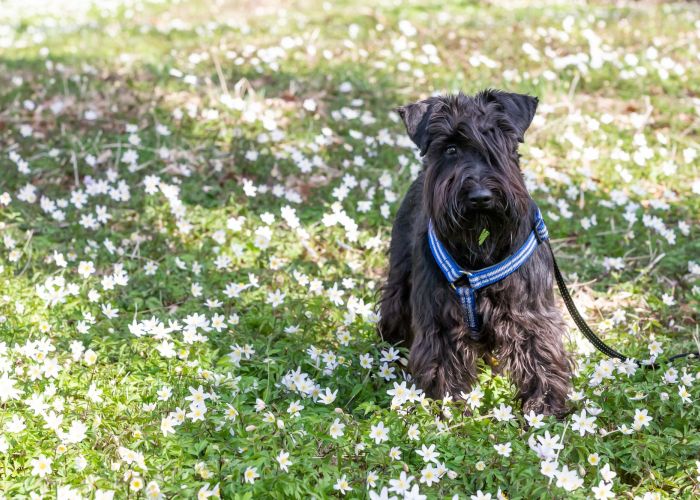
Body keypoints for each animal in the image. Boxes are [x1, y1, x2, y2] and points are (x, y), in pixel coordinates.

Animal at [380, 91, 572, 418]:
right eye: (451, 149)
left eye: (502, 143)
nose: (481, 197)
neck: (481, 247)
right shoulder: (440, 320)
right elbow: (443, 362)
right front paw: (449, 406)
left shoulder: (529, 312)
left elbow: (540, 351)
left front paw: (544, 405)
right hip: (399, 285)